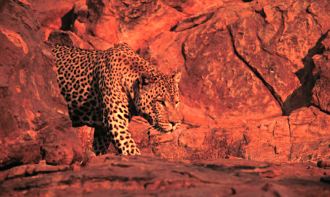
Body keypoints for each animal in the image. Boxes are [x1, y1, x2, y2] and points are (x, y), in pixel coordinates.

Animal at [51, 43, 183, 155]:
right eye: (161, 102)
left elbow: (100, 147)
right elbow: (129, 147)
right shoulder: (114, 120)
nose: (175, 123)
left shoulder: (102, 129)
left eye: (176, 102)